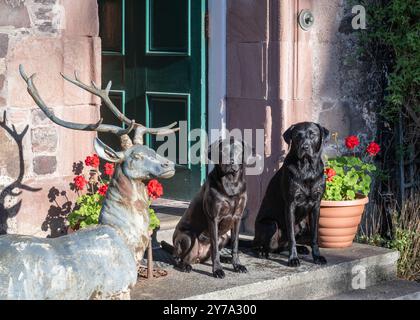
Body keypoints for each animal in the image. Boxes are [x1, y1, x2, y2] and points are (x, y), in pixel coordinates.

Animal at [163, 138, 249, 278]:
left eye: (238, 150)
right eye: (223, 150)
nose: (231, 162)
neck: (231, 183)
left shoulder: (237, 218)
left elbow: (235, 245)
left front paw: (237, 265)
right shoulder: (213, 218)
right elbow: (214, 248)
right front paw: (217, 270)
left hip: (224, 237)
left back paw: (226, 258)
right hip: (188, 237)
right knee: (180, 258)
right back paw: (185, 265)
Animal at [251, 122, 330, 268]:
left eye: (313, 134)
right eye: (297, 136)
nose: (305, 147)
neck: (307, 168)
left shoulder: (316, 206)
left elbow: (314, 236)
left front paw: (317, 256)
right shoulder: (290, 205)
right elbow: (292, 236)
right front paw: (293, 259)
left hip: (303, 225)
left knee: (282, 246)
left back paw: (301, 248)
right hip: (270, 224)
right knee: (259, 245)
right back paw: (262, 252)